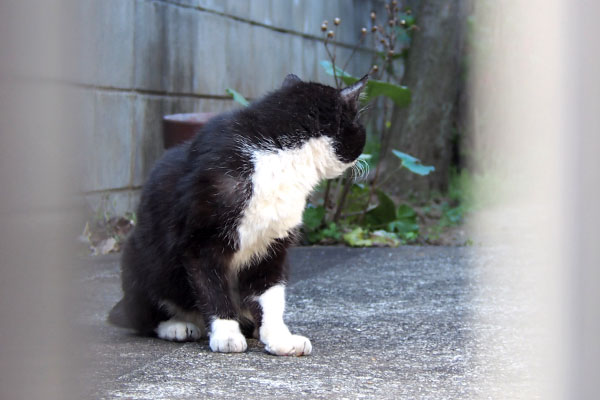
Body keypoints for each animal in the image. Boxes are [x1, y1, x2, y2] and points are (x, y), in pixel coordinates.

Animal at [109, 73, 368, 354]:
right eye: (359, 127)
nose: (362, 157)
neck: (279, 155)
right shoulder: (201, 241)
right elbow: (213, 287)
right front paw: (226, 334)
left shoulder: (272, 245)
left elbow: (271, 294)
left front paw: (279, 338)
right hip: (141, 258)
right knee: (142, 315)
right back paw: (177, 326)